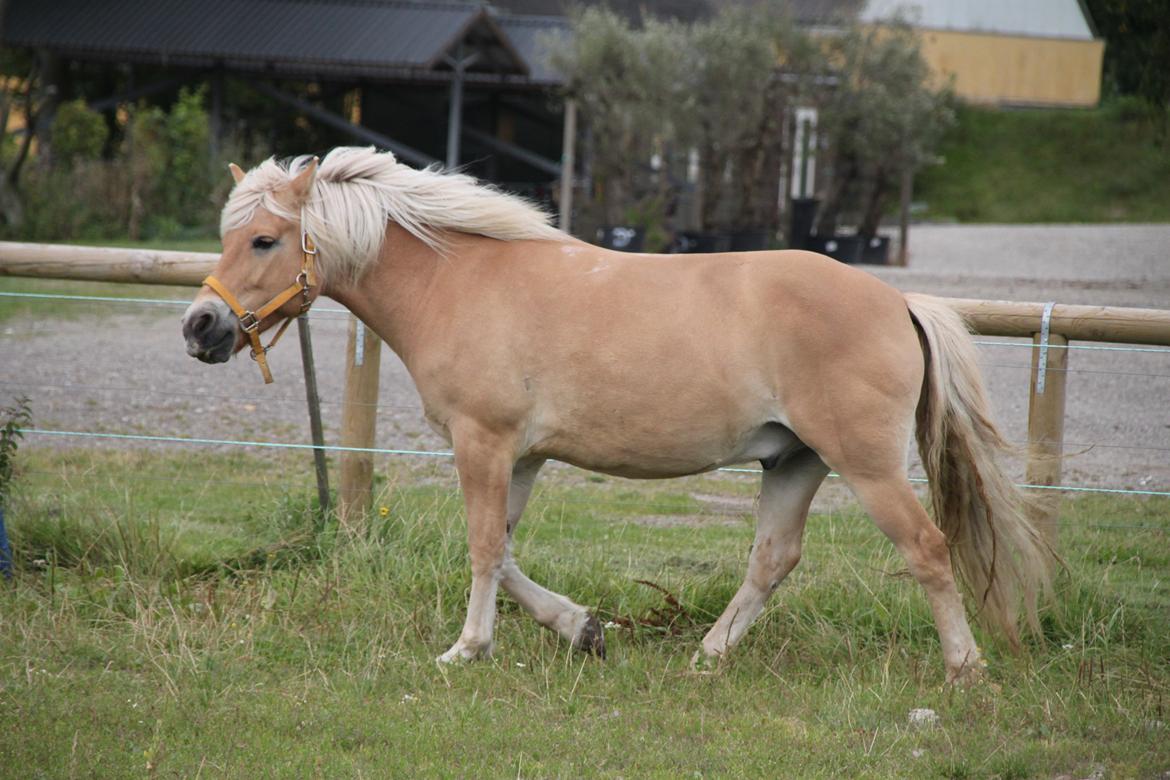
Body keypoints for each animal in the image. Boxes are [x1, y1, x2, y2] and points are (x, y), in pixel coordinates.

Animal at [182, 146, 1053, 682]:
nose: (201, 326)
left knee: (928, 549)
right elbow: (503, 552)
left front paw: (467, 649)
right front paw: (581, 629)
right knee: (772, 560)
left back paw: (965, 668)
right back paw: (708, 654)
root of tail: (899, 301)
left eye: (264, 241)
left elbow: (480, 549)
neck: (459, 281)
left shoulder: (483, 444)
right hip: (793, 461)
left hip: (865, 465)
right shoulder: (522, 457)